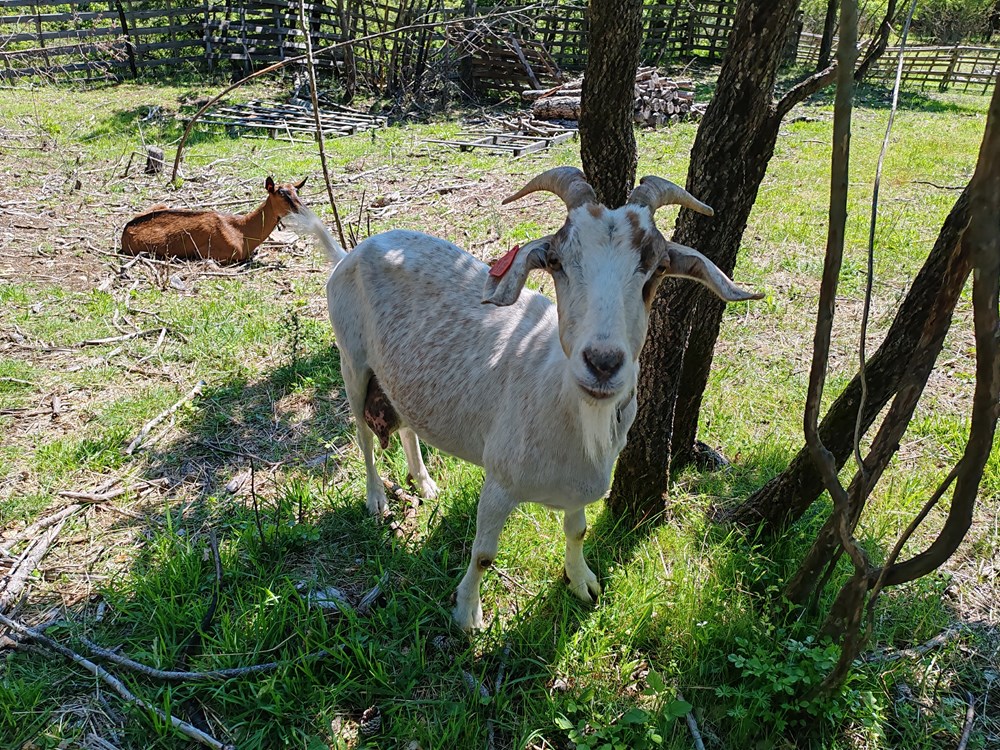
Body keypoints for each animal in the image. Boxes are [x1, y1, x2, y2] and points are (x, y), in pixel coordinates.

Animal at [119, 176, 304, 262]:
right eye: (281, 193)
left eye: (296, 191)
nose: (301, 209)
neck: (242, 231)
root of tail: (125, 230)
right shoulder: (212, 252)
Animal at [316, 169, 760, 628]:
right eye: (557, 262)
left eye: (656, 269)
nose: (603, 363)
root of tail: (353, 251)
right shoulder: (499, 479)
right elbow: (483, 554)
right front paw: (467, 613)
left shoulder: (578, 489)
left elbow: (577, 531)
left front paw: (582, 583)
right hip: (352, 360)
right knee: (363, 437)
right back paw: (376, 499)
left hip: (396, 375)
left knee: (404, 425)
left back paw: (424, 482)